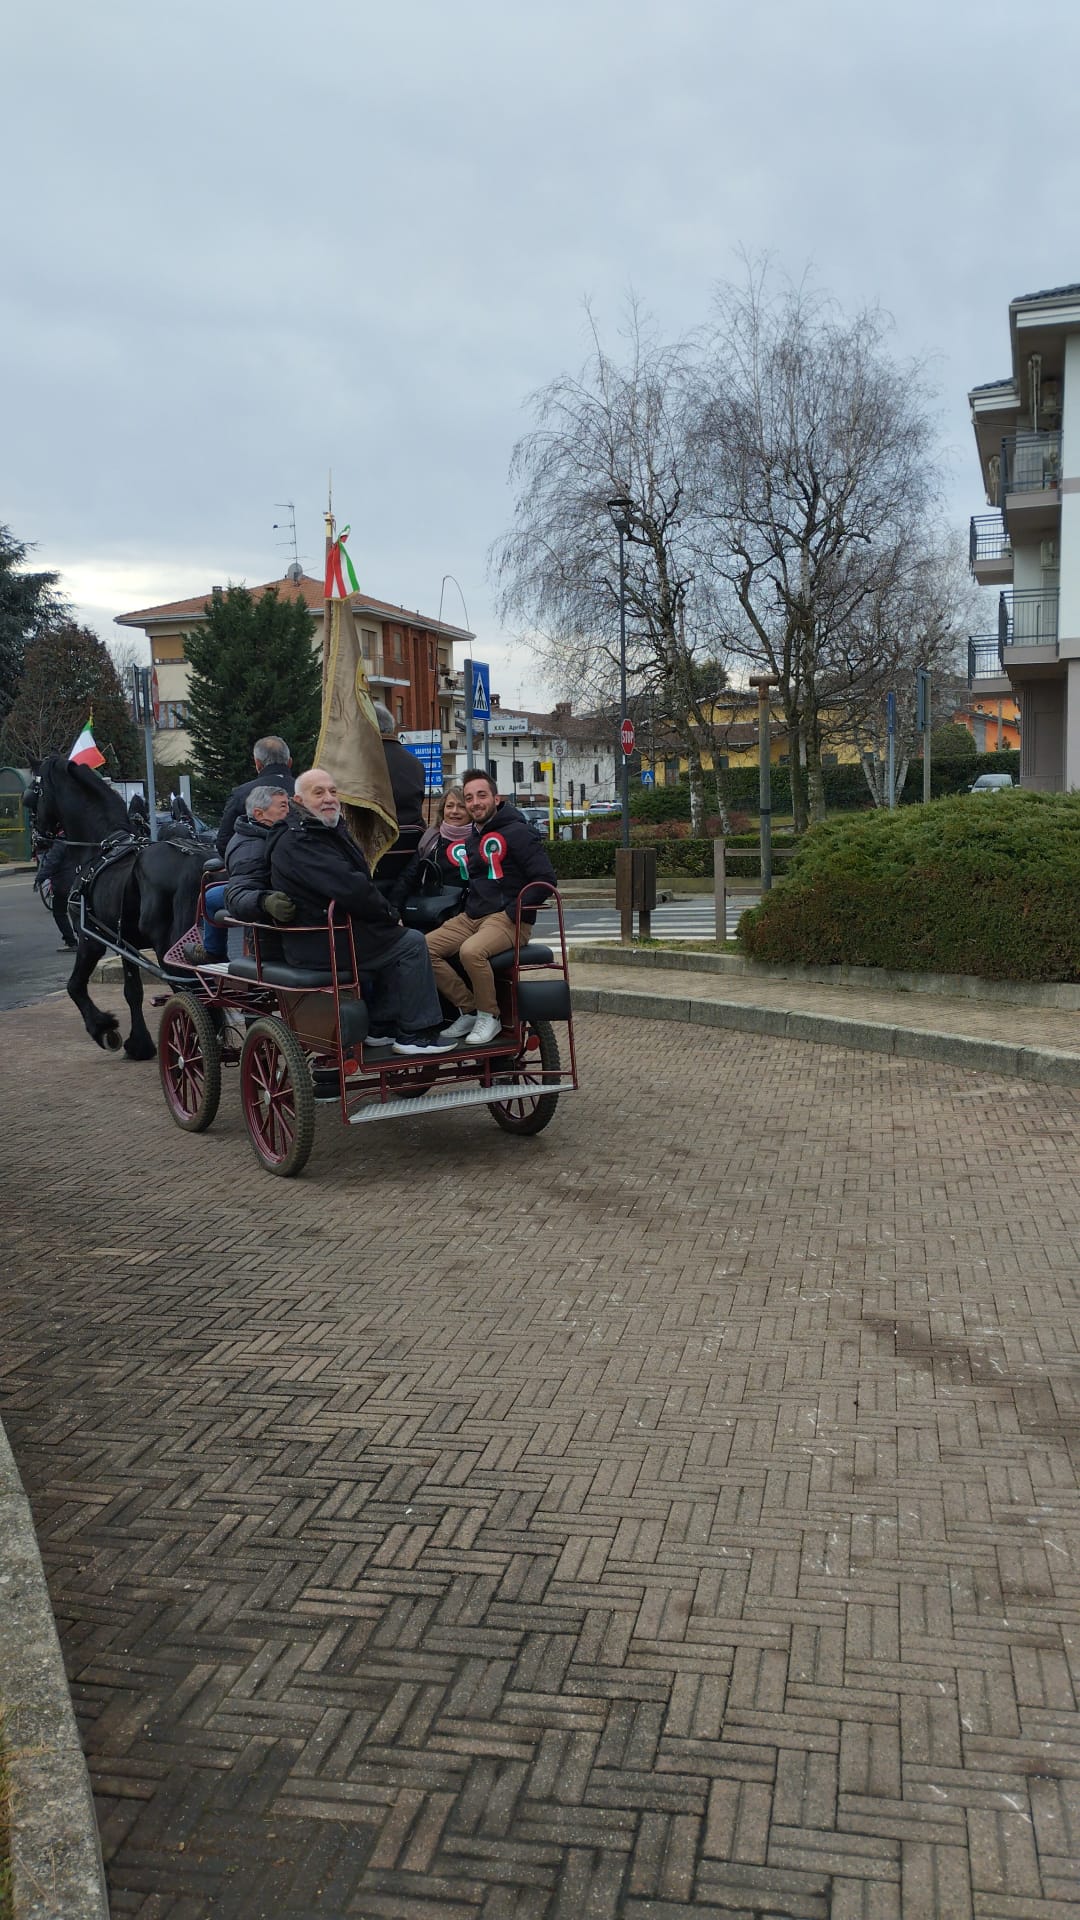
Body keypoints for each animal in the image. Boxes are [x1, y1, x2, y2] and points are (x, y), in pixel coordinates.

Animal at [33, 748, 215, 1059]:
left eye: (35, 793)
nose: (37, 838)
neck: (102, 845)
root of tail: (196, 863)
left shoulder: (91, 937)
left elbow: (75, 985)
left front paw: (103, 1028)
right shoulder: (124, 941)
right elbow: (133, 991)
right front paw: (140, 1043)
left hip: (166, 945)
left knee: (189, 990)